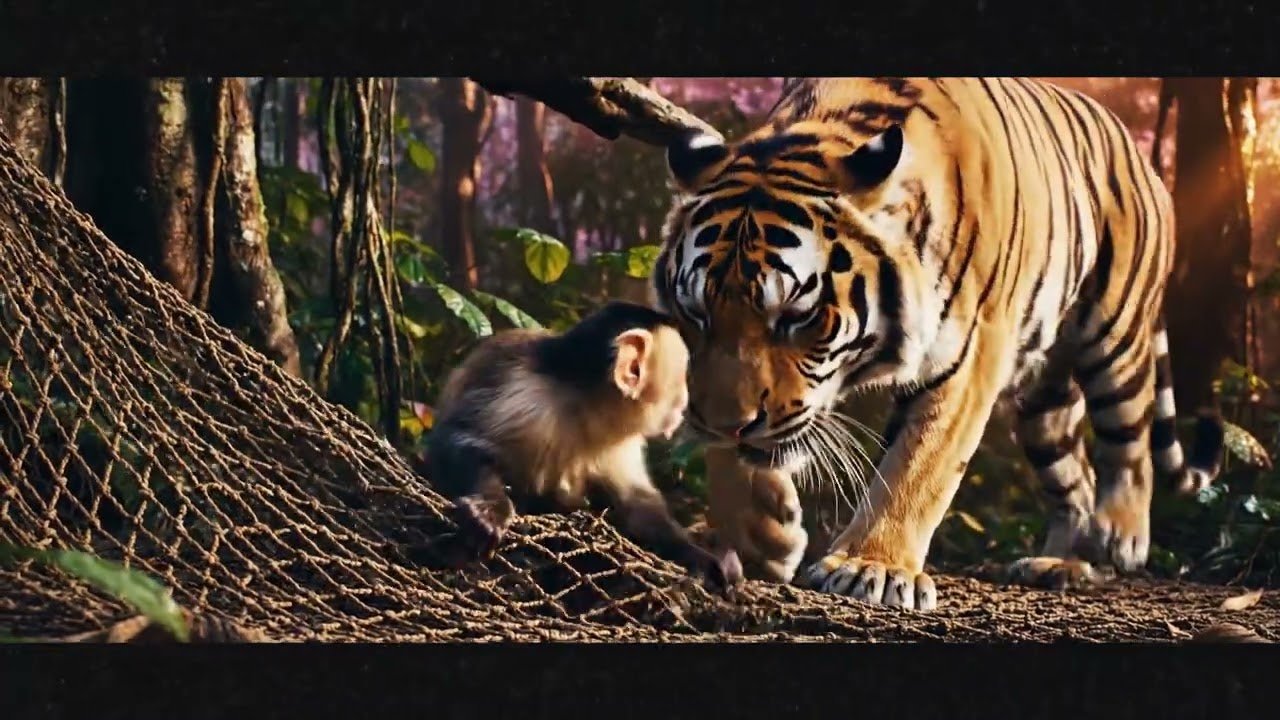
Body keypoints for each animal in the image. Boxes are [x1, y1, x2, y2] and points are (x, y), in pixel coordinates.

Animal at [423, 300, 743, 595]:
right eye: (681, 380)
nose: (686, 401)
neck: (585, 404)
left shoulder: (622, 441)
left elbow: (638, 506)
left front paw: (702, 557)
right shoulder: (524, 392)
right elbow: (460, 440)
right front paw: (489, 508)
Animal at [650, 77, 1225, 611]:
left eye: (797, 316)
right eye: (697, 314)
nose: (731, 424)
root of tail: (1134, 148)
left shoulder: (968, 358)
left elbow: (917, 466)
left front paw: (872, 567)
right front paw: (762, 532)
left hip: (1116, 336)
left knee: (1130, 445)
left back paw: (1118, 537)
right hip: (1045, 402)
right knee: (1075, 477)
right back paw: (1062, 562)